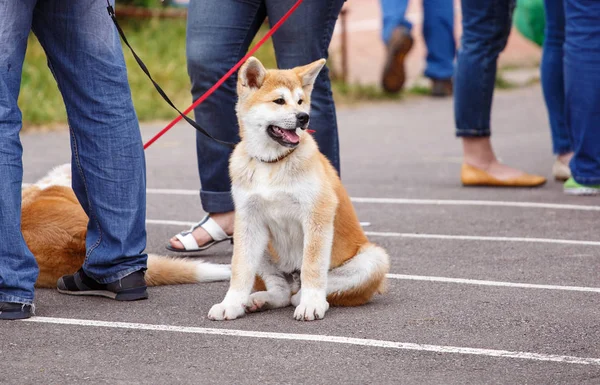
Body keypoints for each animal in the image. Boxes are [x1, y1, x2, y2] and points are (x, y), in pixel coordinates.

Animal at [209, 57, 392, 320]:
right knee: (282, 292)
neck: (272, 163)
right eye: (279, 101)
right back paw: (260, 299)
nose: (304, 117)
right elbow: (240, 268)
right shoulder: (248, 220)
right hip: (261, 244)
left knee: (308, 288)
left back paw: (308, 299)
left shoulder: (317, 214)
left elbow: (312, 267)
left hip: (373, 258)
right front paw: (230, 304)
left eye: (300, 101)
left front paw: (312, 303)